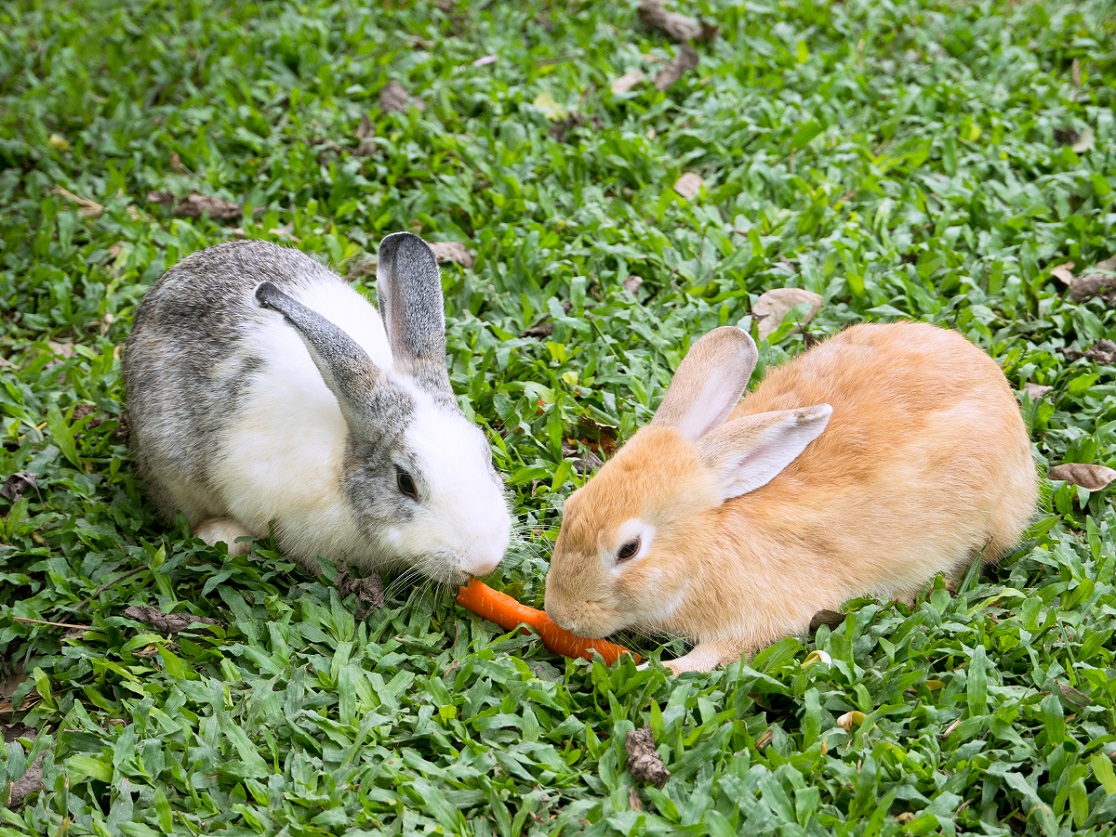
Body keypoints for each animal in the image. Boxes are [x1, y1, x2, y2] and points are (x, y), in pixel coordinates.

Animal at [544, 321, 1040, 674]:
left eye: (629, 549)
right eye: (570, 509)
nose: (562, 615)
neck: (704, 540)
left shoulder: (756, 619)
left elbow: (719, 652)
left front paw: (666, 669)